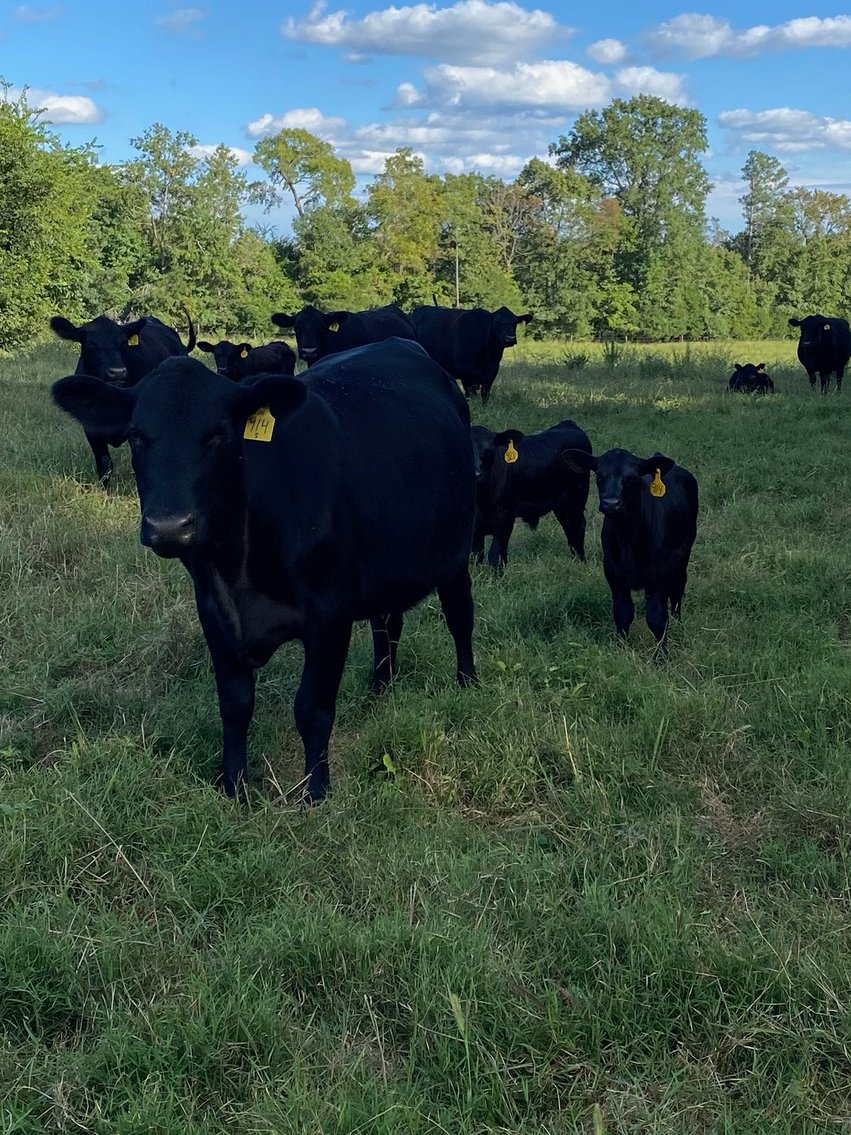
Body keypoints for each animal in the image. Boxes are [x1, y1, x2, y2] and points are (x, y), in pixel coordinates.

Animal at [52, 339, 476, 803]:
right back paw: (380, 686)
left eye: (219, 433)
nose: (169, 526)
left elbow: (312, 707)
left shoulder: (330, 613)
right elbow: (235, 704)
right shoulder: (213, 611)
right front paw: (233, 784)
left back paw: (467, 683)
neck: (238, 571)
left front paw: (315, 791)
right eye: (136, 435)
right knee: (388, 623)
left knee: (460, 618)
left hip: (457, 554)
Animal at [471, 420, 591, 568]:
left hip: (576, 500)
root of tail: (569, 424)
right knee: (570, 529)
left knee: (577, 528)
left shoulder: (505, 514)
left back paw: (581, 561)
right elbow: (476, 553)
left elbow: (495, 553)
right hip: (562, 506)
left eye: (490, 450)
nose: (476, 474)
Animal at [562, 447, 698, 652]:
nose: (611, 503)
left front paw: (661, 654)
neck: (629, 539)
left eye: (632, 478)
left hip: (683, 554)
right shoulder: (613, 572)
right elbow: (623, 612)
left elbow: (657, 618)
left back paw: (678, 622)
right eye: (599, 476)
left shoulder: (660, 572)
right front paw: (622, 648)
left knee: (677, 590)